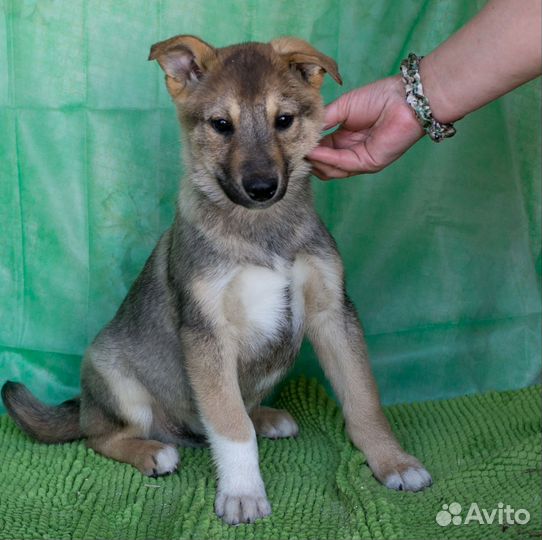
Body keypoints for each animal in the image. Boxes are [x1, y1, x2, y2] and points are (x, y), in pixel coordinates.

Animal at [1, 33, 434, 524]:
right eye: (221, 125)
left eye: (283, 120)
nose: (262, 188)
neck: (260, 231)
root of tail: (84, 405)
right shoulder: (208, 332)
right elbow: (229, 424)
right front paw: (243, 492)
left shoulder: (333, 311)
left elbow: (363, 400)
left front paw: (392, 462)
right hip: (114, 378)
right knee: (101, 436)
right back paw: (152, 452)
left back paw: (266, 417)